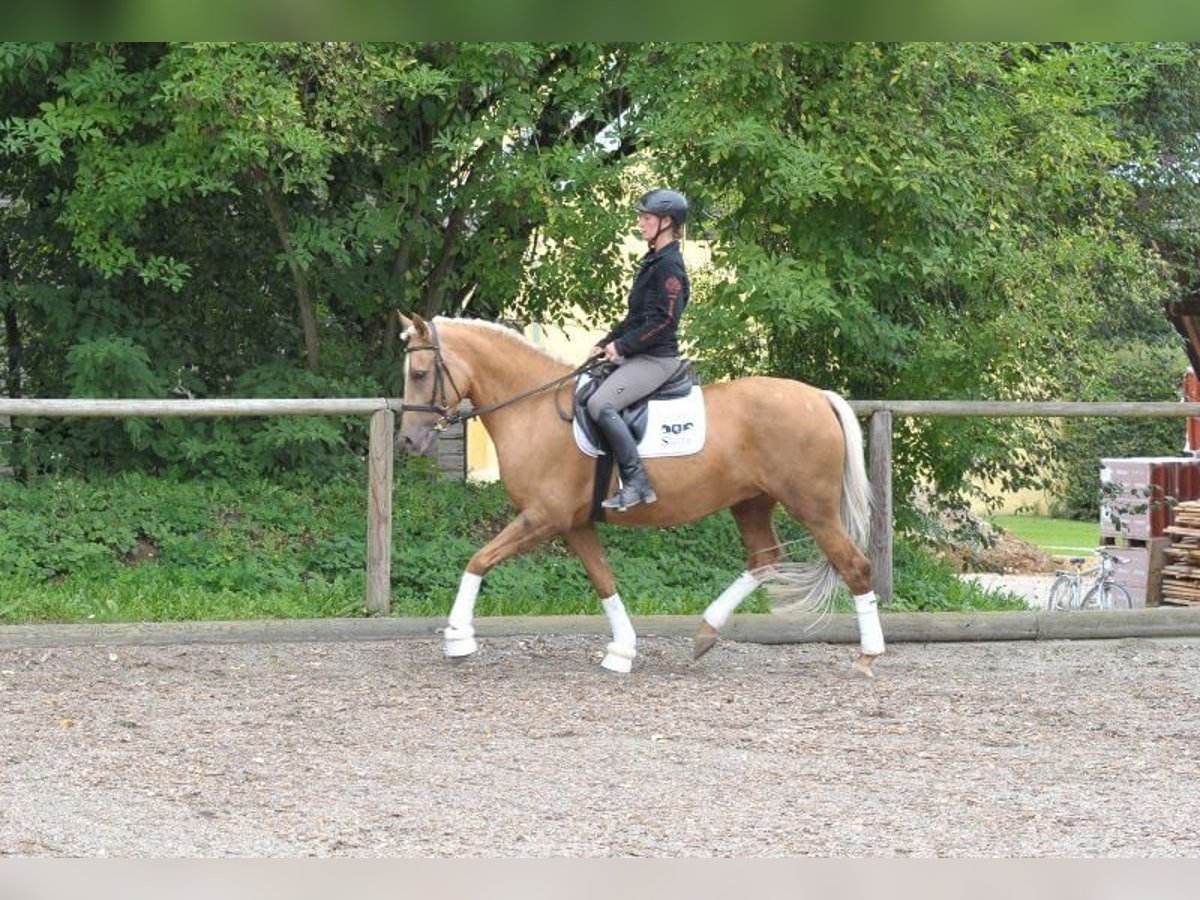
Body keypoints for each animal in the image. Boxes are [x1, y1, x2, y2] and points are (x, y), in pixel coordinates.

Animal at [396, 314, 883, 672]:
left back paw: (868, 656)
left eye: (419, 373)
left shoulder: (544, 516)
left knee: (854, 565)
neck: (531, 408)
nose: (407, 442)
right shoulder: (573, 524)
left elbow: (478, 560)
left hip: (813, 508)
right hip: (751, 503)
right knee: (764, 559)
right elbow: (604, 580)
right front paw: (622, 651)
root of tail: (818, 397)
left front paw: (458, 638)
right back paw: (705, 633)